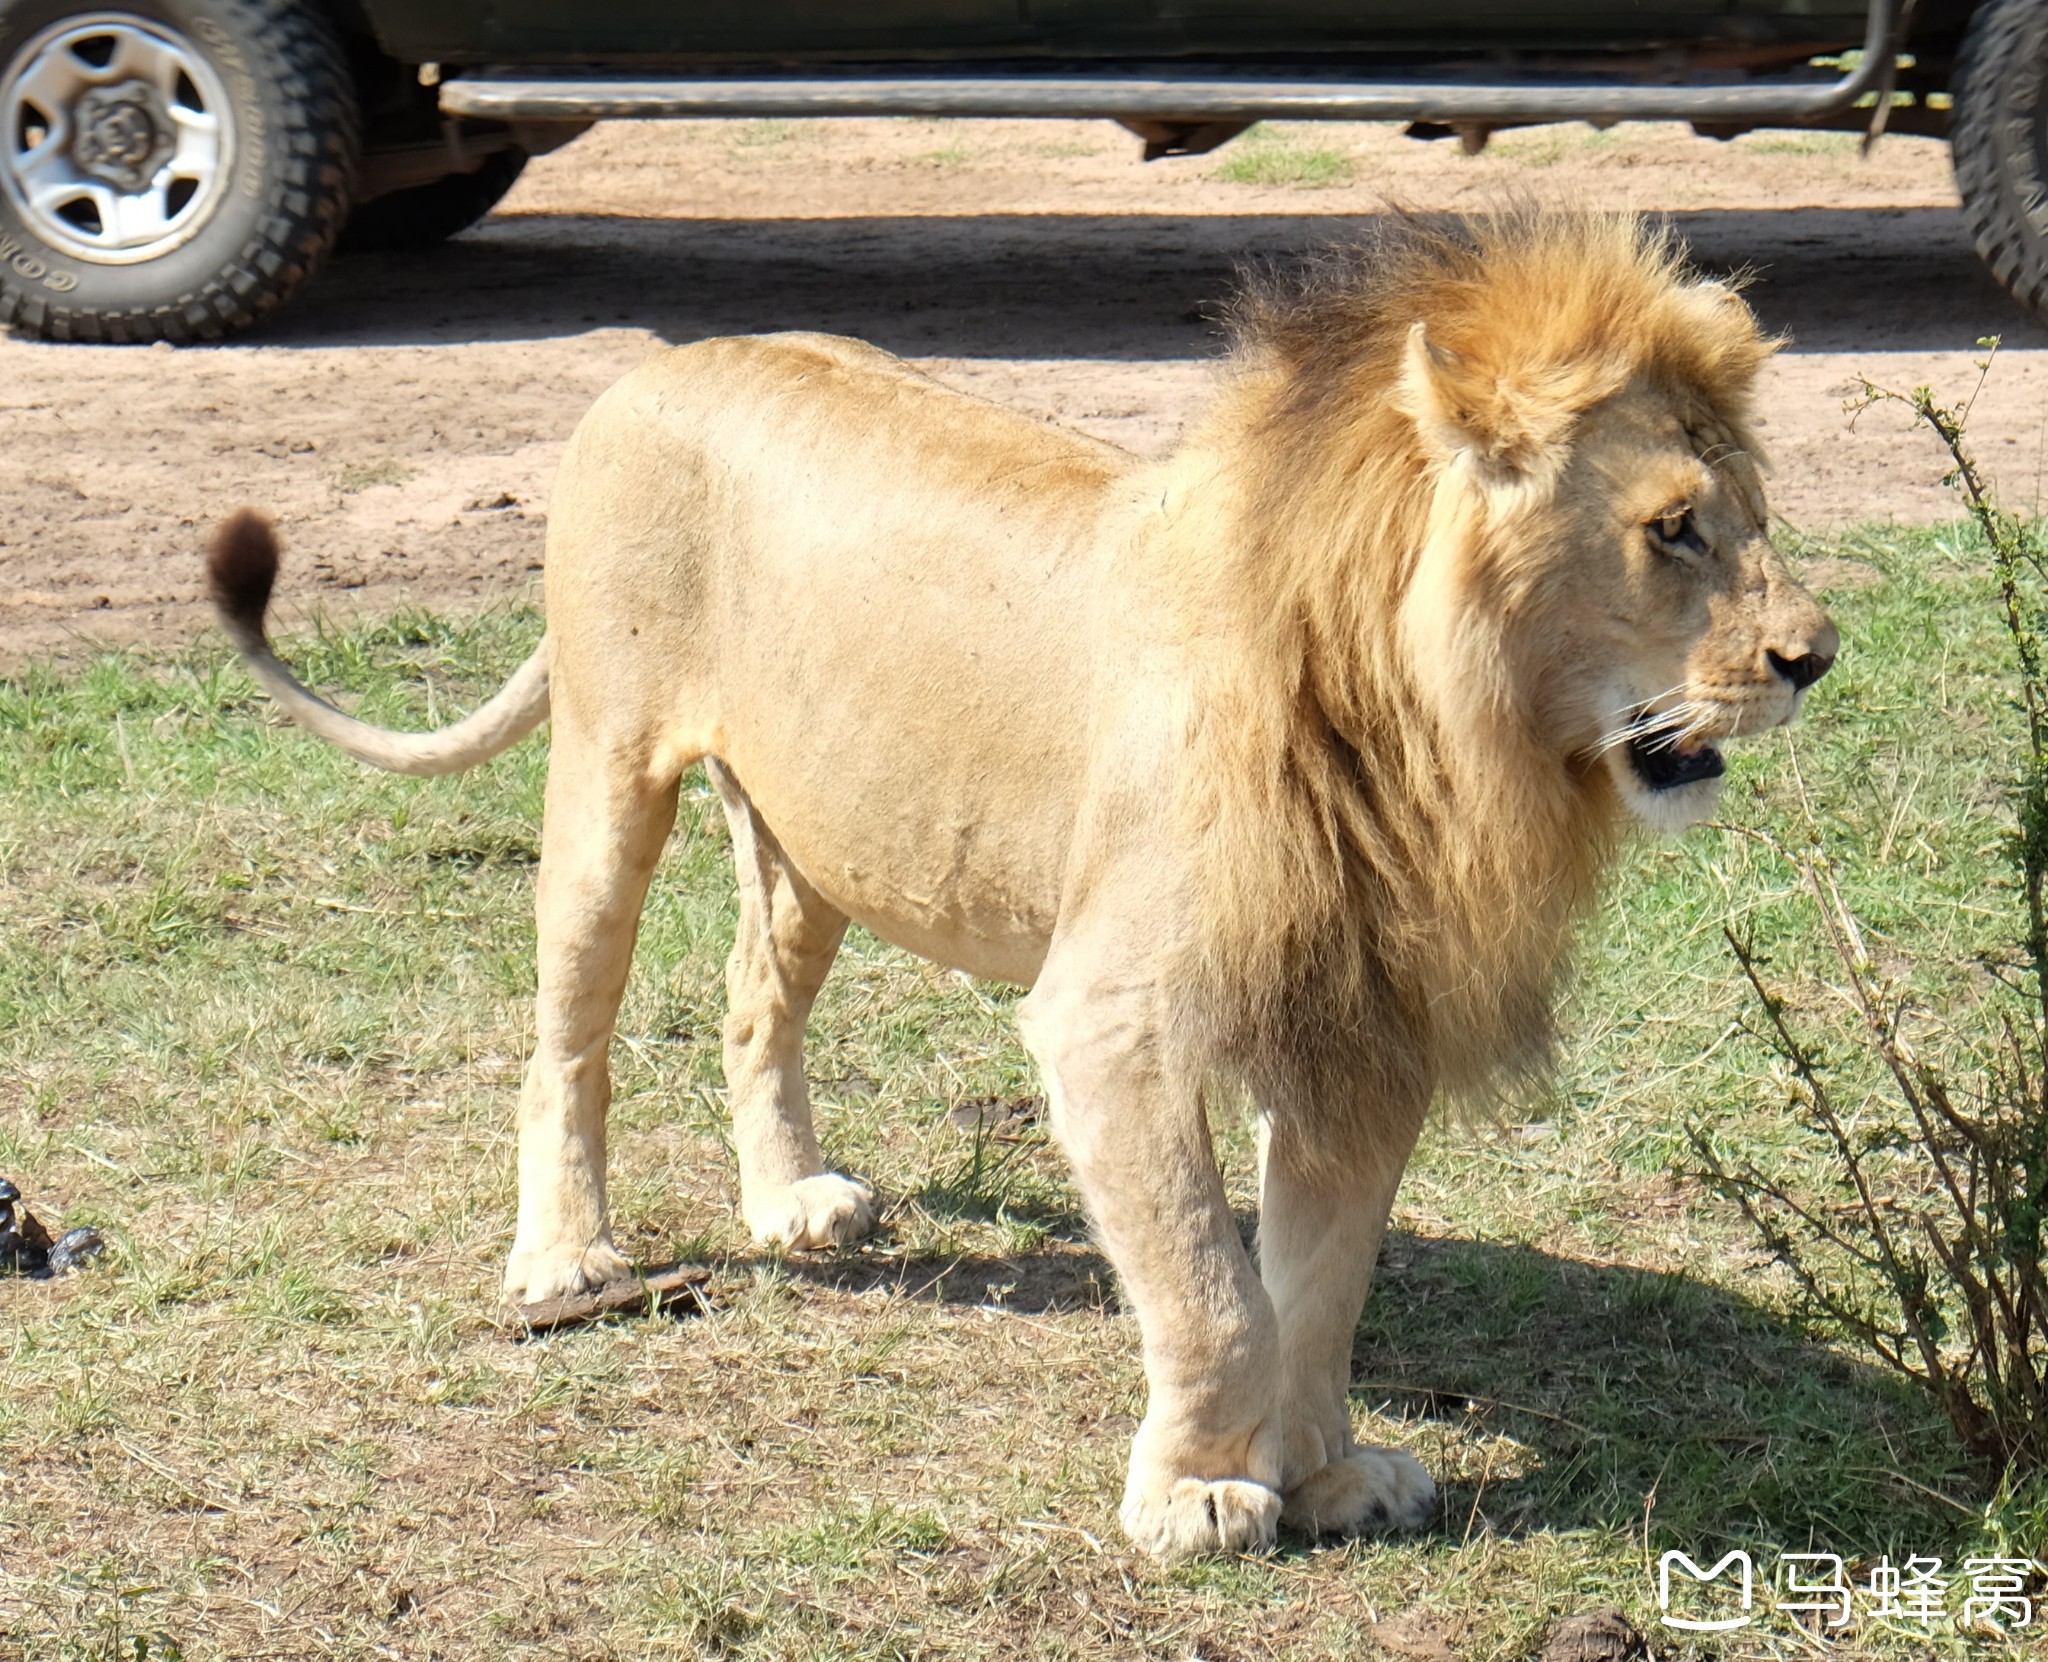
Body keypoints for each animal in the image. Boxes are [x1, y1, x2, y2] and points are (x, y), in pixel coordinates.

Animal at [207, 210, 1843, 1555]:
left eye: (1753, 511)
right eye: (1672, 528)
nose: (1815, 656)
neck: (1429, 721)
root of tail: (660, 363)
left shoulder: (1355, 1024)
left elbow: (1320, 1287)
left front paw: (1325, 1476)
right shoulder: (1114, 1020)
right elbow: (1213, 1291)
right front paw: (1197, 1496)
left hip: (820, 838)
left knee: (750, 1003)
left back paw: (790, 1200)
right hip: (610, 772)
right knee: (568, 1035)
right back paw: (562, 1258)